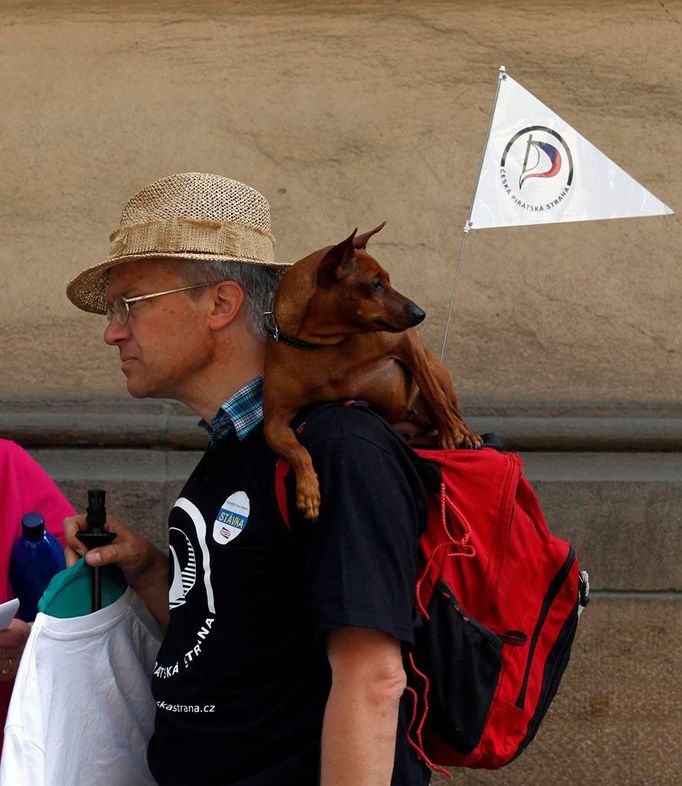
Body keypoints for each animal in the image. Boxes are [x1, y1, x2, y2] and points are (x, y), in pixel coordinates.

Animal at [260, 222, 478, 516]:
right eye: (376, 284)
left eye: (388, 280)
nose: (420, 314)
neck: (322, 344)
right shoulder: (274, 423)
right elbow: (297, 450)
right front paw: (308, 489)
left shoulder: (407, 342)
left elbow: (435, 395)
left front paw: (452, 431)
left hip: (437, 368)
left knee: (448, 403)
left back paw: (463, 432)